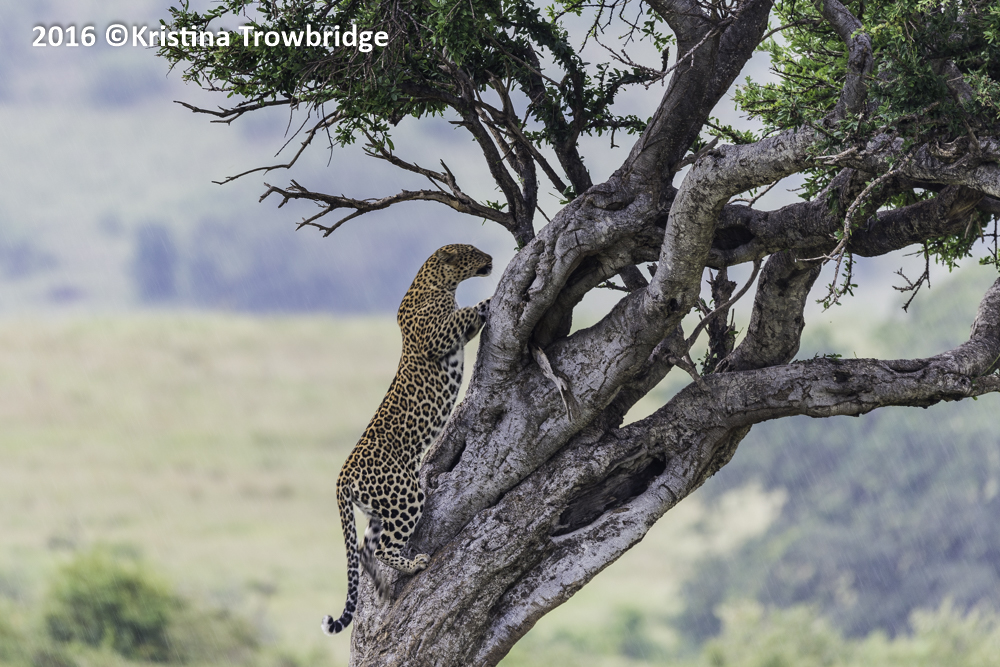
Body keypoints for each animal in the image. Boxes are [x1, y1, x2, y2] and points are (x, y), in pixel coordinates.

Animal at [322, 243, 493, 635]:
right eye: (471, 251)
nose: (491, 258)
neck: (439, 283)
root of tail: (342, 475)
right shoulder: (439, 335)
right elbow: (465, 314)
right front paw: (486, 302)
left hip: (380, 507)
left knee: (366, 549)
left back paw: (383, 586)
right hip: (405, 494)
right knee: (383, 547)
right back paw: (414, 565)